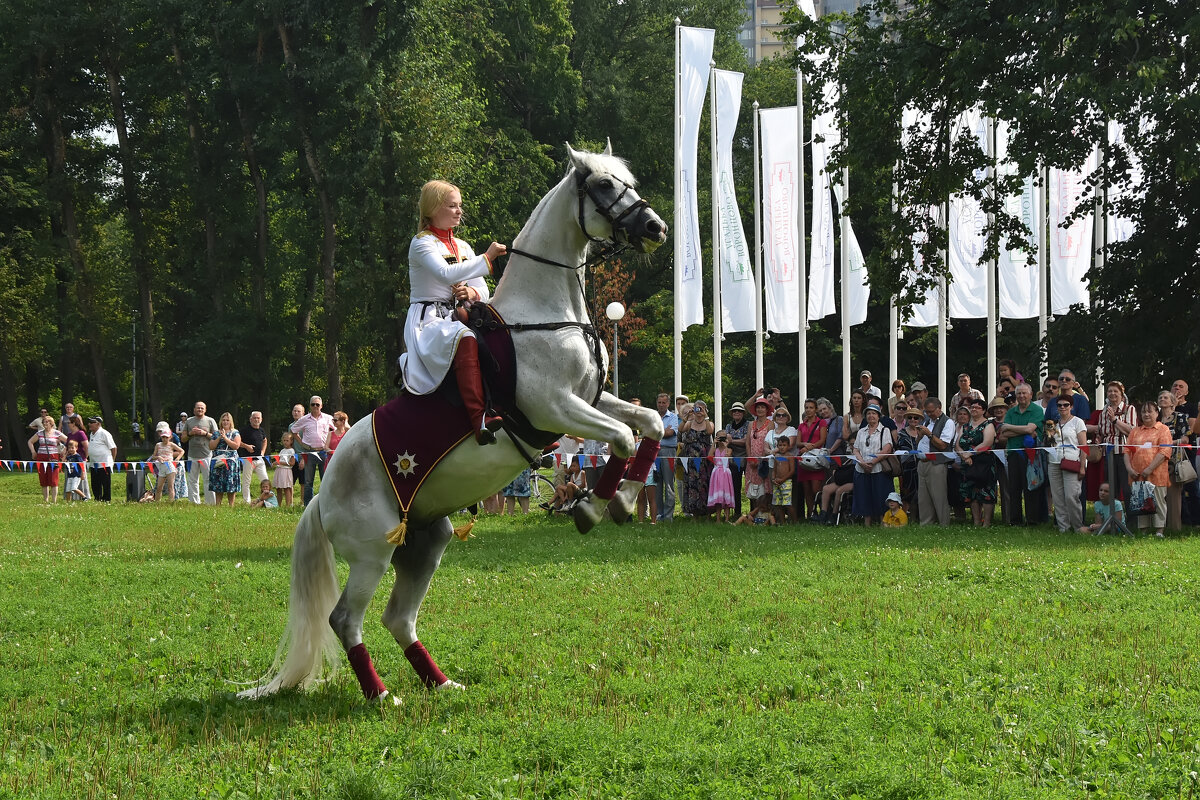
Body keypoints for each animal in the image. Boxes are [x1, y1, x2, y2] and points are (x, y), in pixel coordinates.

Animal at [238, 145, 672, 705]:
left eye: (628, 181)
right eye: (601, 184)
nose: (657, 227)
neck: (544, 316)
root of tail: (321, 495)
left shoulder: (591, 399)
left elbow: (649, 423)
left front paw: (621, 500)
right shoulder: (554, 408)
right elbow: (620, 436)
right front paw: (592, 507)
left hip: (425, 543)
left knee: (397, 618)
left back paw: (440, 682)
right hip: (373, 553)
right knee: (346, 619)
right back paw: (381, 695)